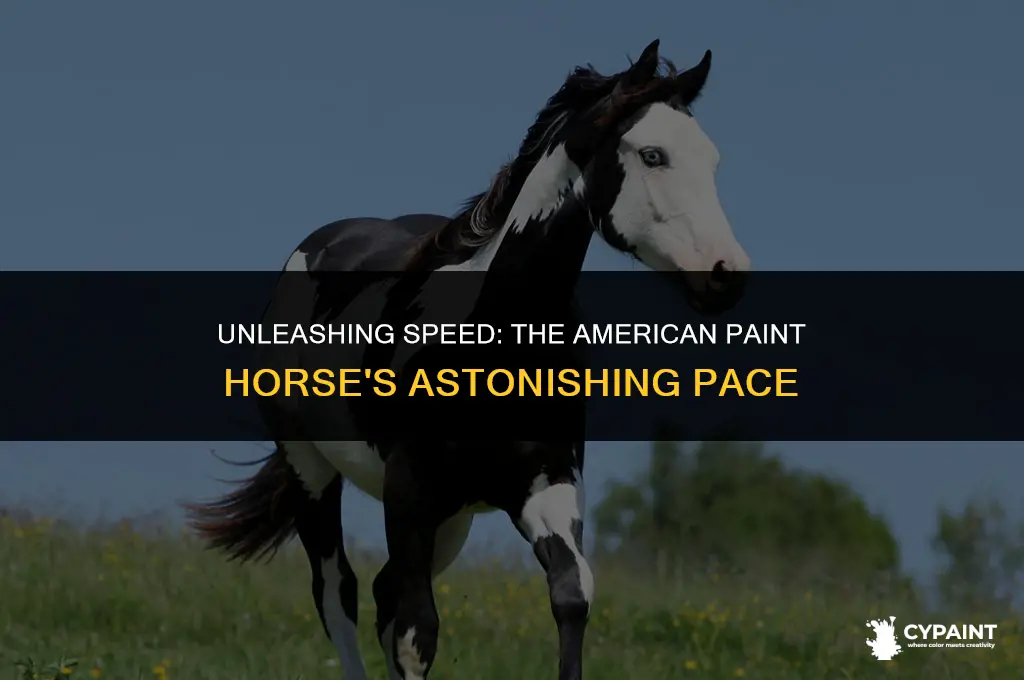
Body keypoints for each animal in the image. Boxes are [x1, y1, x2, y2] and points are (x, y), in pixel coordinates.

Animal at [185, 39, 750, 680]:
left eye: (712, 162)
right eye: (653, 155)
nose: (728, 276)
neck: (489, 345)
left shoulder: (547, 484)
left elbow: (571, 594)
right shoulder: (409, 493)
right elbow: (416, 632)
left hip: (450, 520)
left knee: (379, 593)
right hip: (313, 470)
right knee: (338, 591)